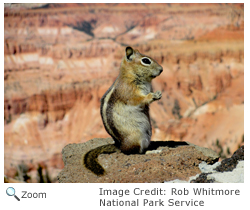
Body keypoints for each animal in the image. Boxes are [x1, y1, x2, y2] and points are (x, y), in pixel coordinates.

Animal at [83, 46, 163, 176]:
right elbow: (139, 99)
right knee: (134, 152)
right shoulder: (129, 91)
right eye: (146, 61)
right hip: (137, 137)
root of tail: (119, 145)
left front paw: (158, 94)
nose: (161, 69)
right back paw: (152, 152)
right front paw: (153, 96)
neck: (131, 74)